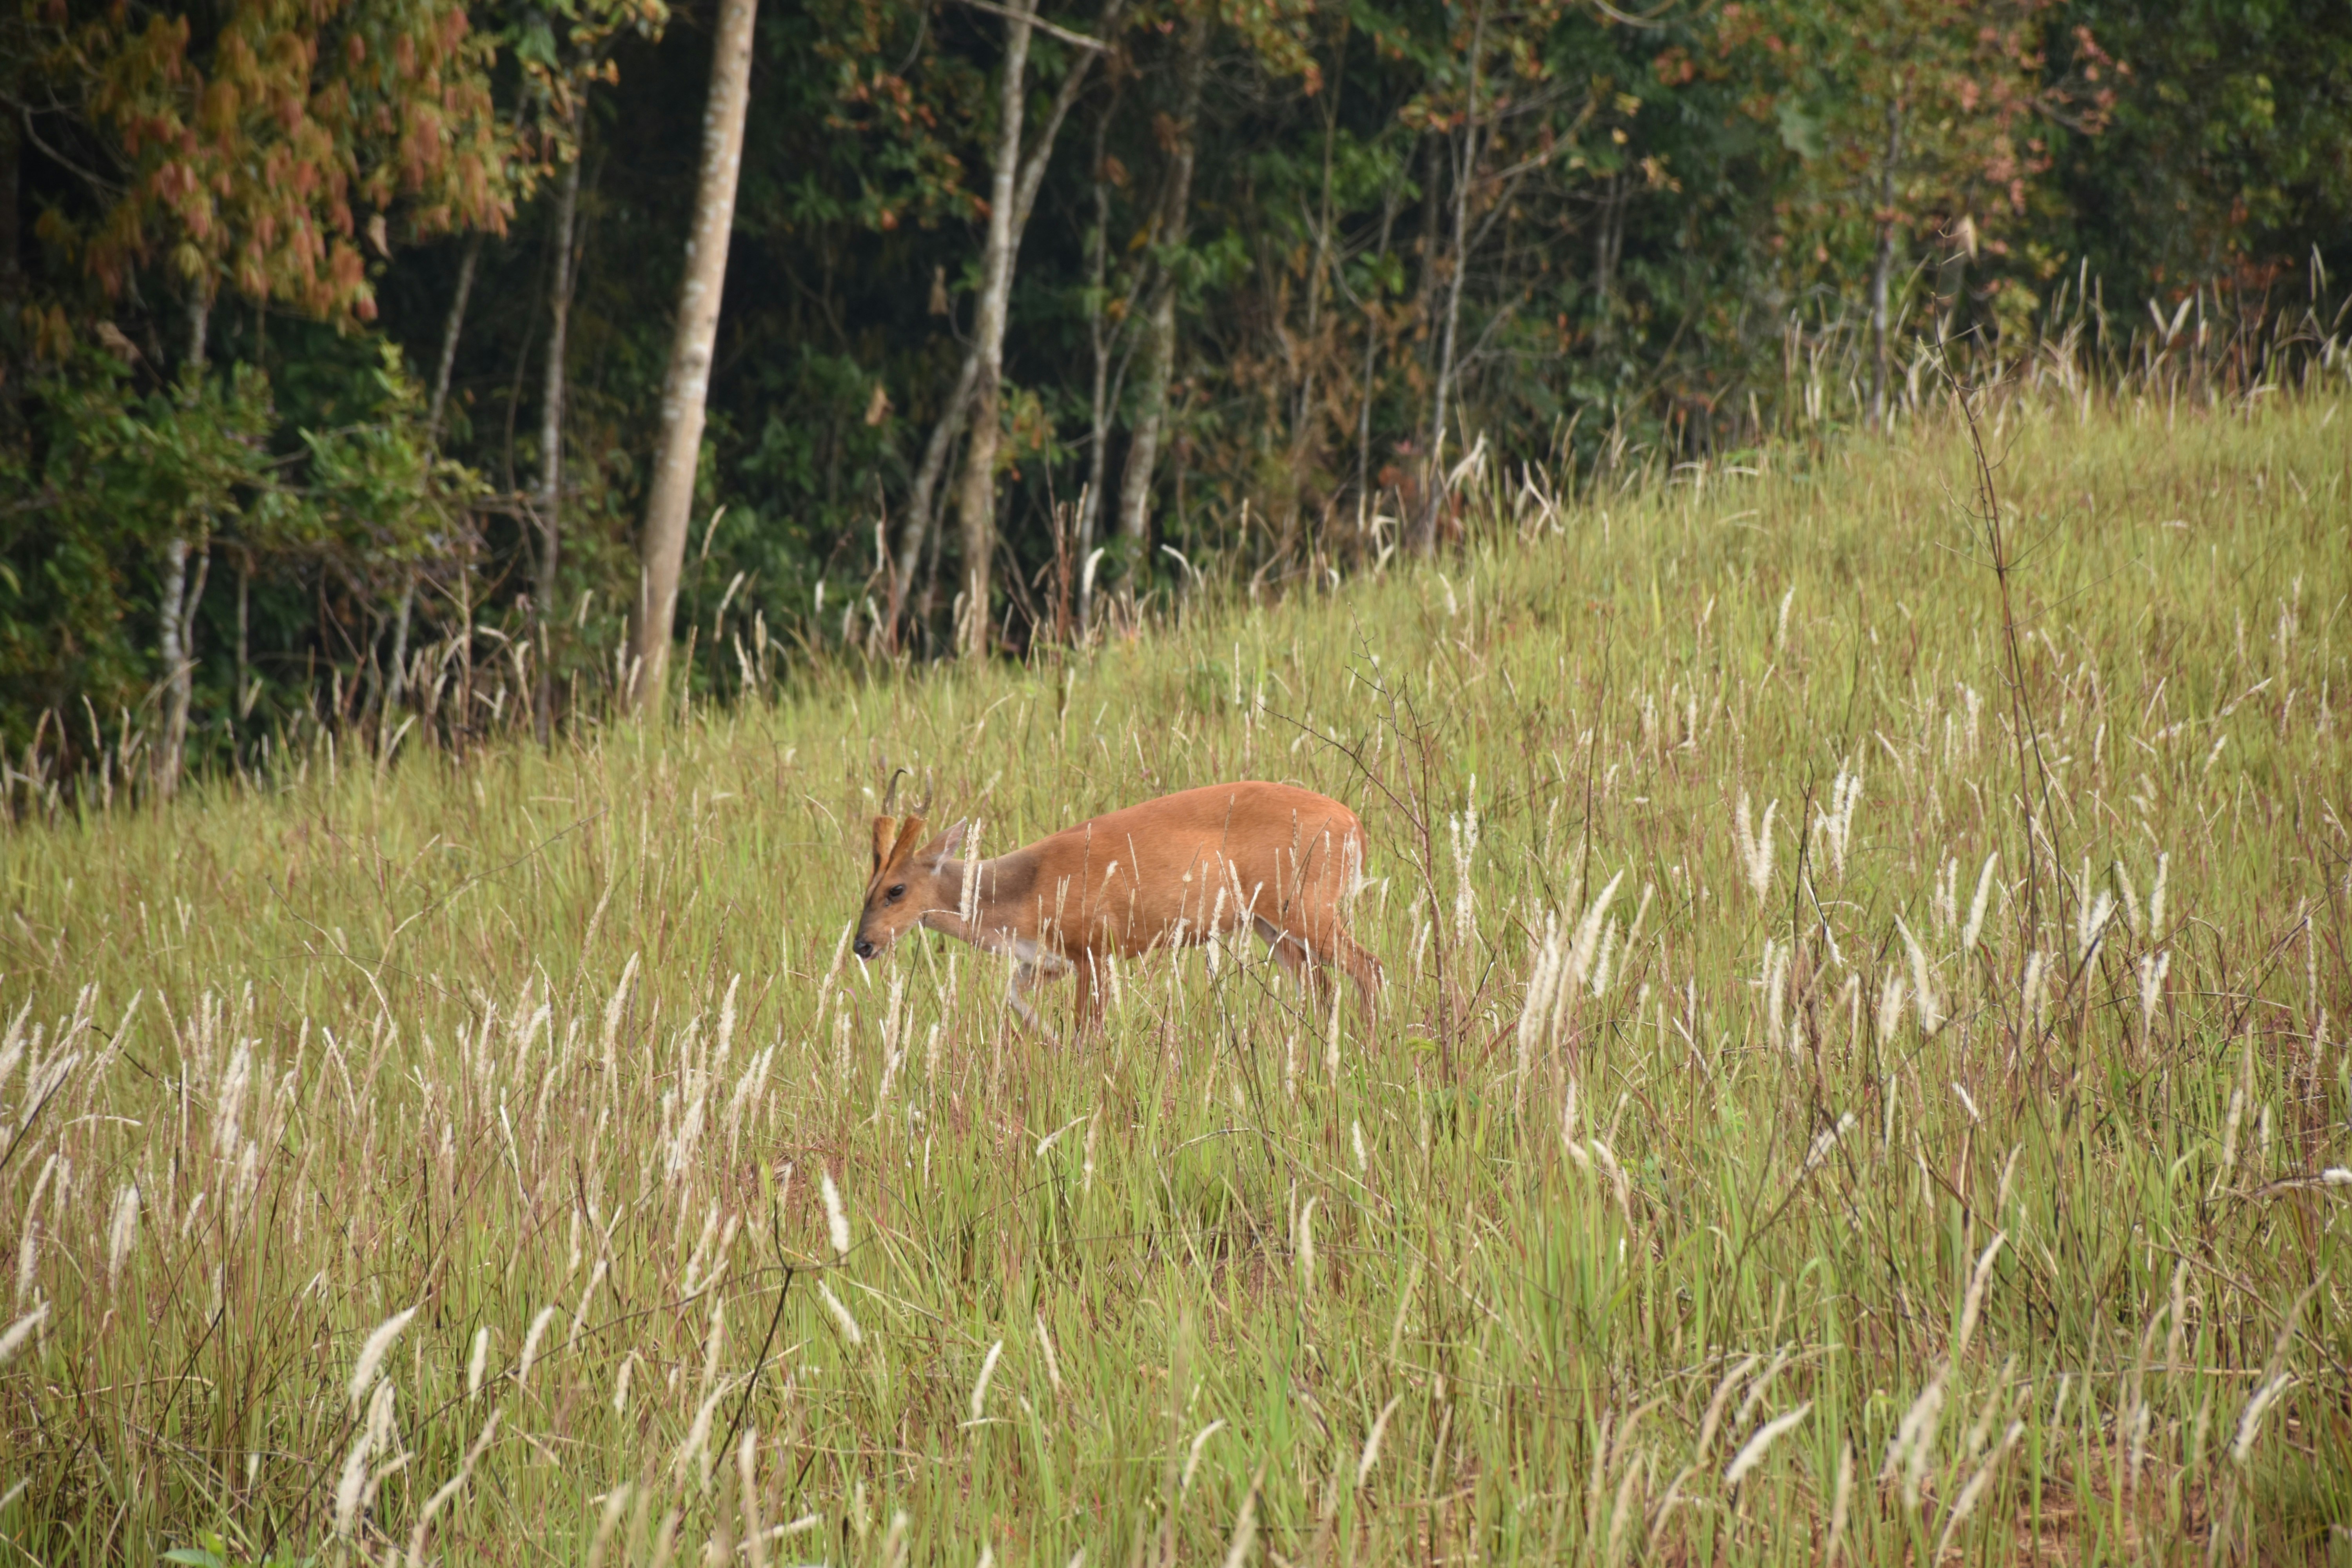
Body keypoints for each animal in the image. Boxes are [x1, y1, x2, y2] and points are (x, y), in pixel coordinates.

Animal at [853, 781, 1382, 1033]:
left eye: (896, 889)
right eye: (866, 887)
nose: (862, 944)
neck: (1020, 893)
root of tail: (1356, 824)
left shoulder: (1093, 944)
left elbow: (1088, 1028)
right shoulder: (1049, 959)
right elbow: (1013, 996)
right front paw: (1050, 1040)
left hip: (1307, 904)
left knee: (1369, 967)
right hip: (1270, 923)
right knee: (1321, 986)